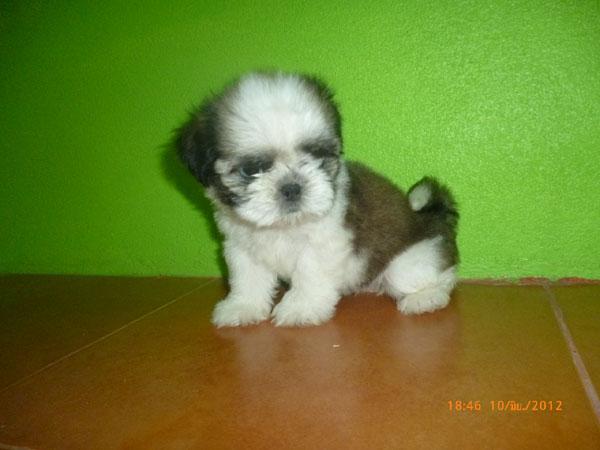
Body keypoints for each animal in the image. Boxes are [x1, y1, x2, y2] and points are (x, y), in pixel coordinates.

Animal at [176, 72, 458, 327]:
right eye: (251, 169)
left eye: (316, 155)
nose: (291, 187)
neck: (282, 226)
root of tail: (431, 218)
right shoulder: (241, 244)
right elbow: (248, 278)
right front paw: (243, 306)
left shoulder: (325, 242)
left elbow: (309, 273)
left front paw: (301, 308)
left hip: (408, 263)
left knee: (442, 277)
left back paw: (425, 297)